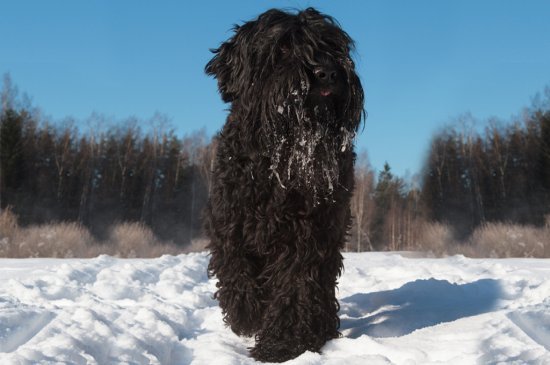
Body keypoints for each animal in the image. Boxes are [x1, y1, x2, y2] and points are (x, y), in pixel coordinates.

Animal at [205, 7, 364, 362]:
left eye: (334, 46)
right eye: (283, 48)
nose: (327, 73)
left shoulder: (308, 235)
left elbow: (295, 286)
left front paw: (281, 345)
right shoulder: (229, 221)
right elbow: (235, 270)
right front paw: (247, 316)